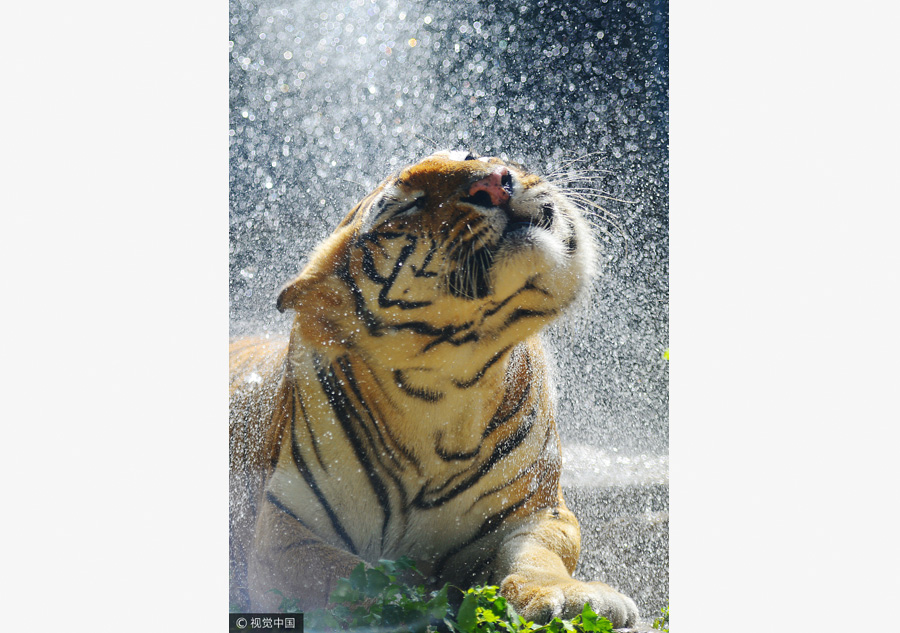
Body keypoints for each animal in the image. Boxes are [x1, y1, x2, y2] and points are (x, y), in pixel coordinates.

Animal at [232, 149, 640, 628]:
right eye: (405, 206)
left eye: (469, 155)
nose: (496, 182)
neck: (445, 397)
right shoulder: (284, 532)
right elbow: (347, 576)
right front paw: (414, 604)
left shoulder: (540, 511)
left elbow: (539, 556)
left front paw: (572, 597)